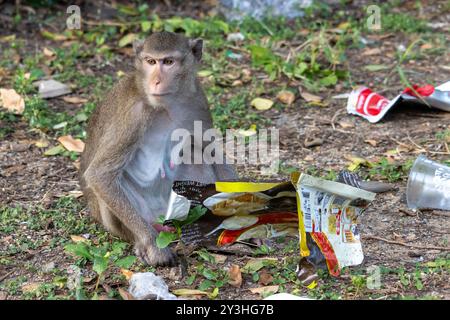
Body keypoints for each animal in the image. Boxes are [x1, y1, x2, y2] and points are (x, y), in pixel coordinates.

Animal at [79, 31, 237, 264]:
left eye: (168, 62)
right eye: (151, 61)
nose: (156, 81)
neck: (166, 105)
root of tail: (160, 217)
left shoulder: (197, 101)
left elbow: (211, 152)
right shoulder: (133, 116)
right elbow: (99, 175)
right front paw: (152, 246)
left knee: (195, 153)